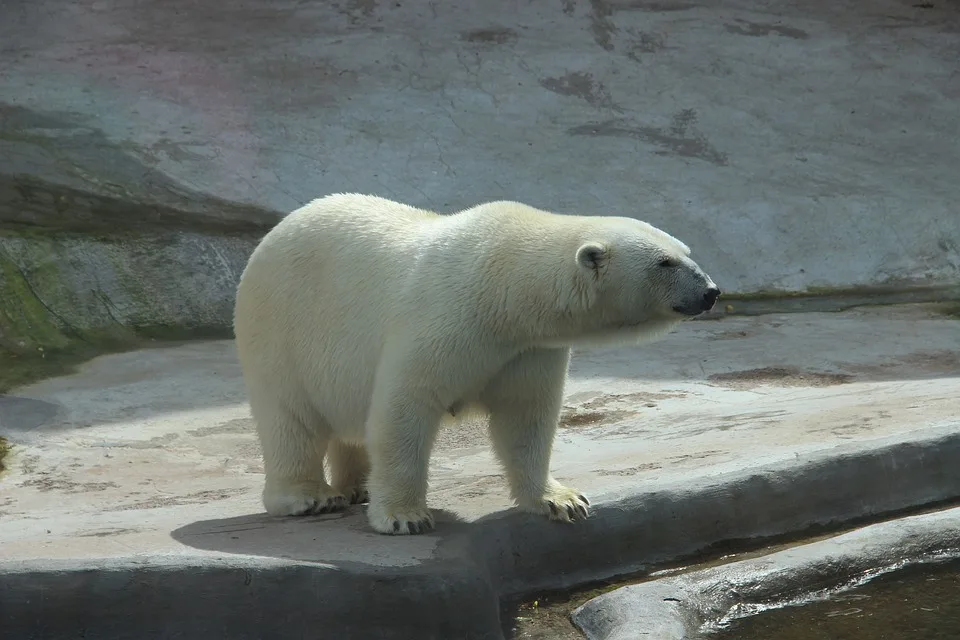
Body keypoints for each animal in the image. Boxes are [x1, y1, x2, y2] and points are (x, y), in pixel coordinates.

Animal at [232, 194, 716, 536]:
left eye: (686, 251)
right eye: (664, 262)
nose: (711, 291)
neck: (504, 288)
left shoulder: (527, 349)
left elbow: (525, 417)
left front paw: (562, 501)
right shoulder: (446, 318)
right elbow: (405, 407)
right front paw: (405, 517)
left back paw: (358, 485)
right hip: (279, 327)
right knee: (291, 417)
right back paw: (310, 496)